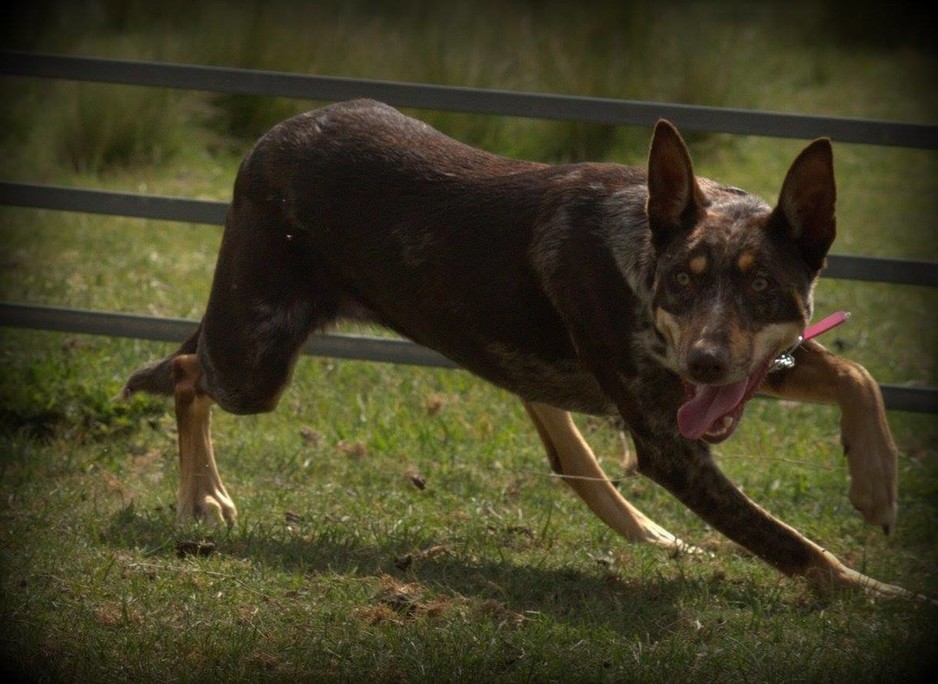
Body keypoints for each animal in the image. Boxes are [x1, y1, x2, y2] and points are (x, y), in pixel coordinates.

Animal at [122, 100, 916, 600]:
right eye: (682, 283)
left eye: (761, 287)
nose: (706, 364)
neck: (639, 253)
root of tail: (270, 138)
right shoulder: (671, 441)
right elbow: (791, 544)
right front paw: (883, 593)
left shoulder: (733, 373)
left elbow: (856, 371)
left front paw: (875, 480)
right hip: (254, 358)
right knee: (188, 369)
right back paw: (202, 497)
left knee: (557, 432)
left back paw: (646, 531)